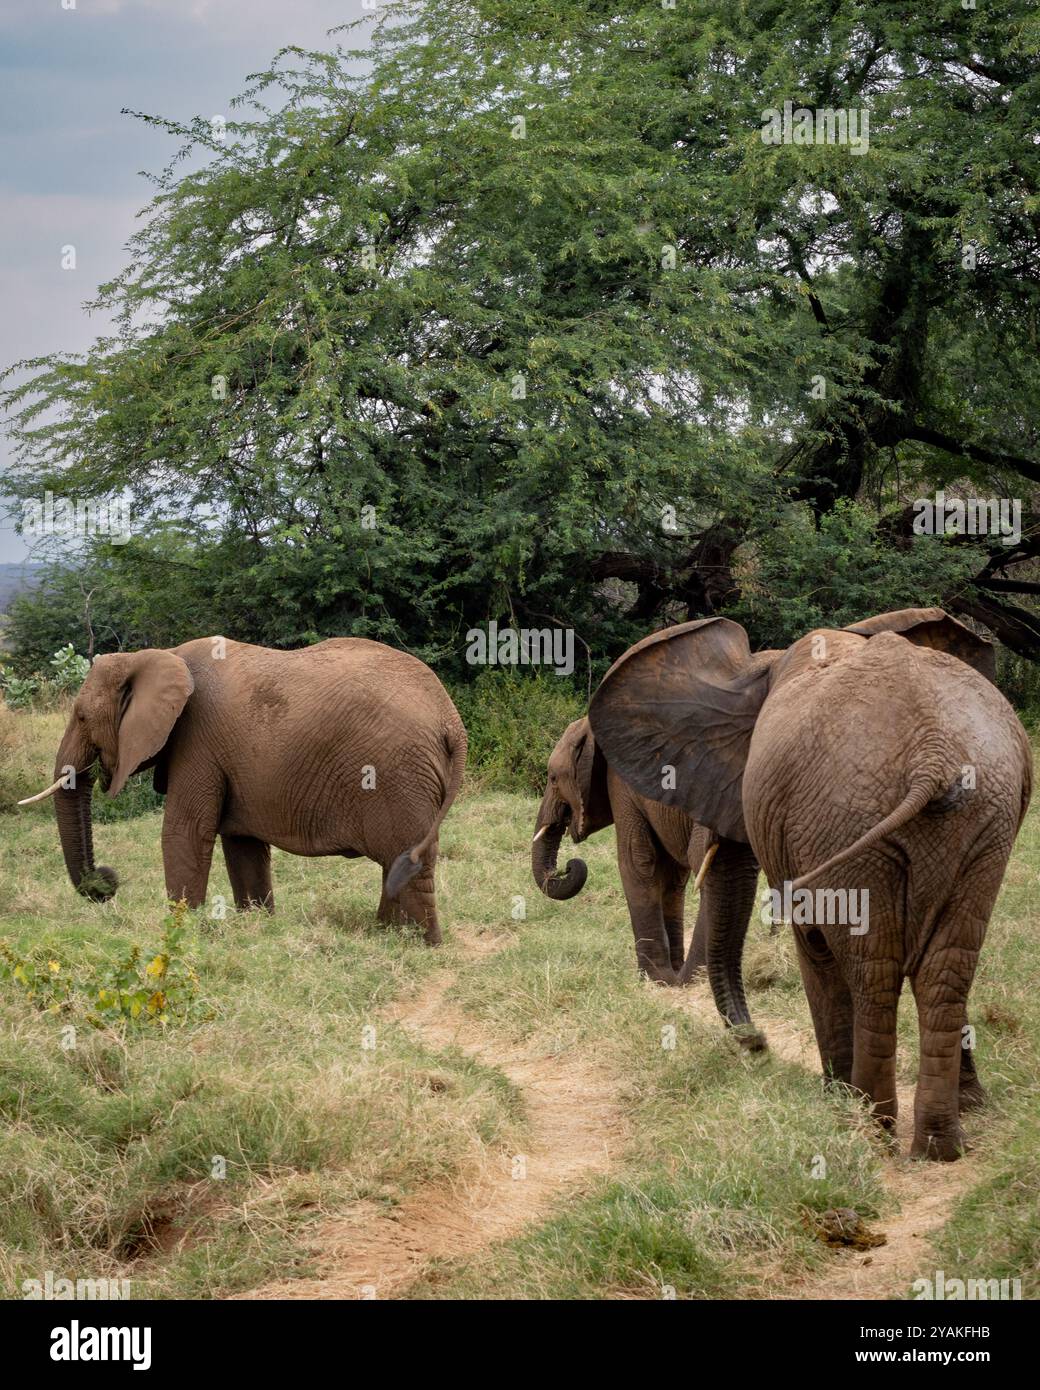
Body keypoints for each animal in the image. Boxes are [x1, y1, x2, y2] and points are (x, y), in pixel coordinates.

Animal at [19, 636, 467, 945]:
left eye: (81, 716)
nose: (107, 882)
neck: (156, 656)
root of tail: (451, 720)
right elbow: (242, 843)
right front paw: (256, 925)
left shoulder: (197, 742)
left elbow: (184, 832)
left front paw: (181, 931)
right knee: (400, 862)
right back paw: (384, 935)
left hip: (399, 775)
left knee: (406, 860)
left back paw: (417, 945)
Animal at [528, 717, 761, 1034]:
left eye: (553, 778)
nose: (569, 865)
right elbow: (672, 874)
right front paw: (667, 971)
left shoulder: (622, 783)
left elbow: (636, 860)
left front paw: (653, 978)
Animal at [589, 608, 1034, 1162]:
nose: (757, 1044)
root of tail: (932, 757)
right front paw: (970, 1105)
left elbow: (816, 947)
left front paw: (835, 1097)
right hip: (982, 823)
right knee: (944, 971)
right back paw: (938, 1145)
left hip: (851, 821)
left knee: (871, 970)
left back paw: (869, 1124)